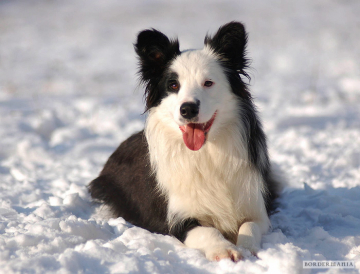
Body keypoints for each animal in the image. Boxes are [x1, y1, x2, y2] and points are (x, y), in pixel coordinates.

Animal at [88, 21, 280, 262]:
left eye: (208, 83)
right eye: (173, 85)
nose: (188, 109)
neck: (206, 153)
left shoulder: (255, 204)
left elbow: (250, 225)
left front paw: (246, 248)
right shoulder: (174, 218)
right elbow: (207, 230)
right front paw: (224, 249)